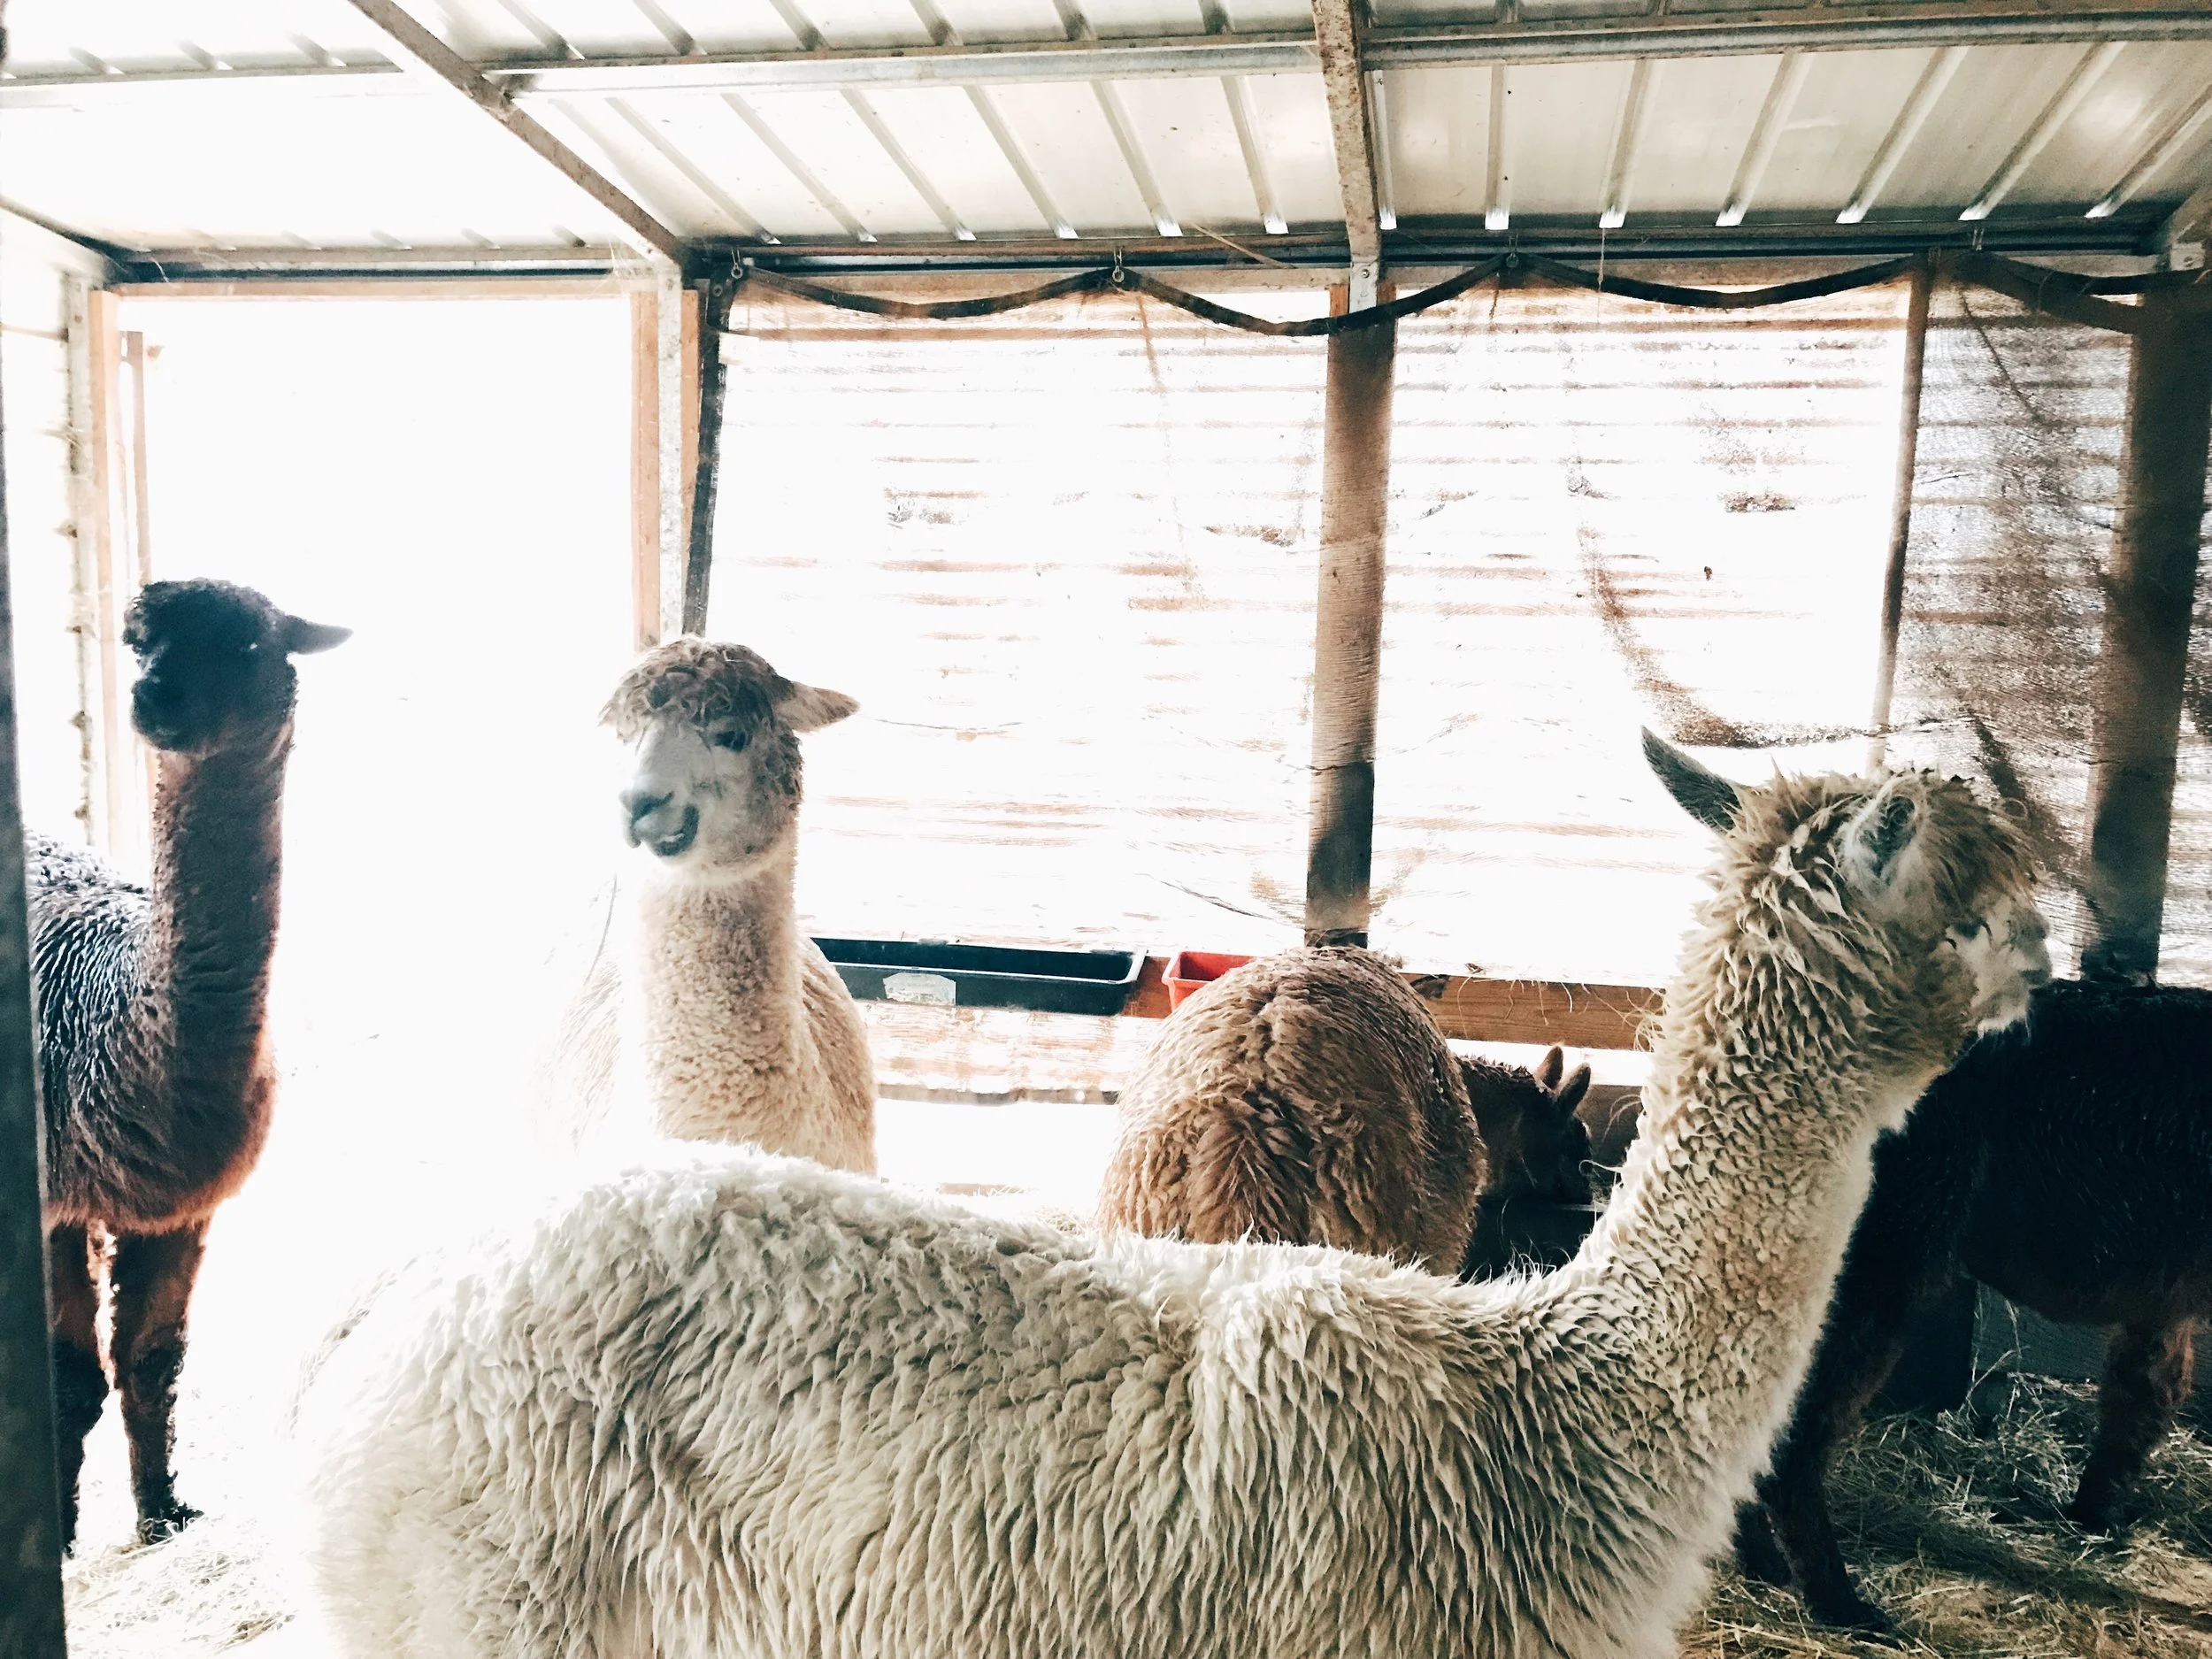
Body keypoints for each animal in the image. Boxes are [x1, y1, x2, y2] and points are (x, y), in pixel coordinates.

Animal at [34, 578, 347, 1548]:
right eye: (139, 643)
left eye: (246, 645)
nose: (154, 696)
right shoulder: (53, 1195)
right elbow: (69, 1381)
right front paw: (58, 1538)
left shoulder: (181, 1206)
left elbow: (151, 1363)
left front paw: (163, 1511)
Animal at [1734, 975, 2212, 1634]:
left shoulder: (2162, 1294)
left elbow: (2138, 1398)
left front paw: (2092, 1520)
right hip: (1882, 1258)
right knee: (1794, 1438)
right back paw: (1840, 1604)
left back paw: (1762, 1564)